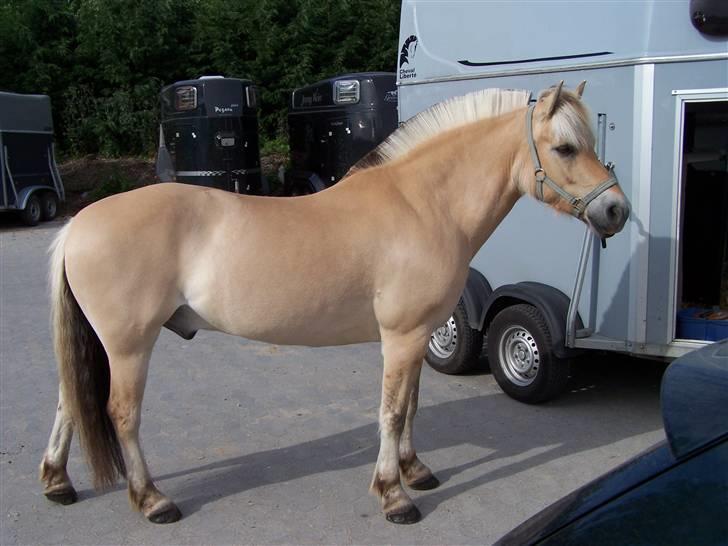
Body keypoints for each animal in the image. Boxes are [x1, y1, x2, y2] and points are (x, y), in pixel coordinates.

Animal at [41, 82, 632, 524]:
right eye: (565, 148)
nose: (616, 211)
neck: (423, 205)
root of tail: (79, 224)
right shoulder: (401, 336)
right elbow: (391, 410)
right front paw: (395, 496)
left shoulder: (418, 335)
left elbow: (411, 405)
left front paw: (416, 471)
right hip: (128, 346)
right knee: (121, 414)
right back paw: (152, 501)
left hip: (103, 343)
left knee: (69, 400)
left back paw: (57, 482)